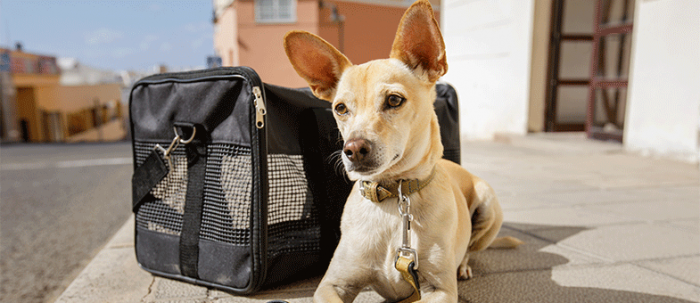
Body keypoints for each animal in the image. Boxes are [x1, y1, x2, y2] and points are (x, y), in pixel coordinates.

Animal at [284, 1, 520, 302]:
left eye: (394, 100)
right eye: (340, 108)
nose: (353, 149)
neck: (393, 196)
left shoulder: (439, 289)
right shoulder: (332, 284)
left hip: (488, 207)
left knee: (470, 248)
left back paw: (463, 266)